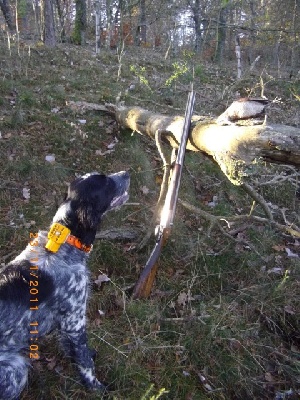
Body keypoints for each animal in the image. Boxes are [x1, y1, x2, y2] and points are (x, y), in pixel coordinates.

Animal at [0, 171, 130, 400]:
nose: (127, 173)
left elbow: (76, 350)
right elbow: (85, 364)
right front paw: (97, 388)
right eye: (105, 182)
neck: (62, 244)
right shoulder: (74, 321)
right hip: (16, 368)